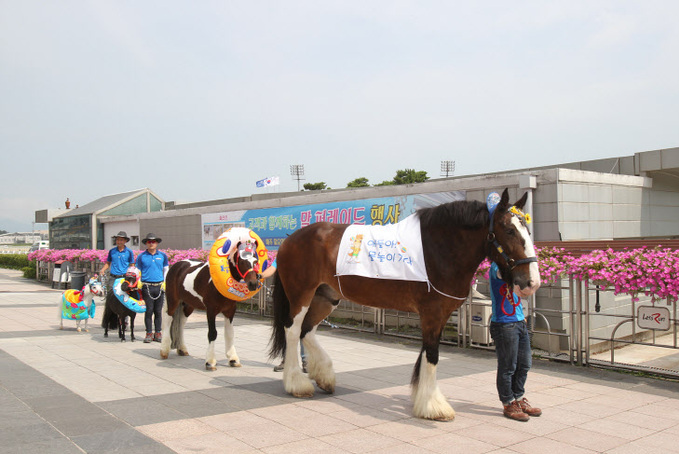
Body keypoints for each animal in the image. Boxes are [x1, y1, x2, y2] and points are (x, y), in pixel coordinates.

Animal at [270, 189, 540, 422]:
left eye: (526, 229)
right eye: (509, 230)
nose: (531, 282)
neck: (439, 248)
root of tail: (288, 240)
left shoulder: (438, 315)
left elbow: (427, 353)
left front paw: (424, 399)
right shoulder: (432, 313)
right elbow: (432, 355)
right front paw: (433, 406)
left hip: (326, 297)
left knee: (307, 331)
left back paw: (324, 376)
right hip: (301, 295)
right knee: (293, 331)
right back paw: (296, 383)